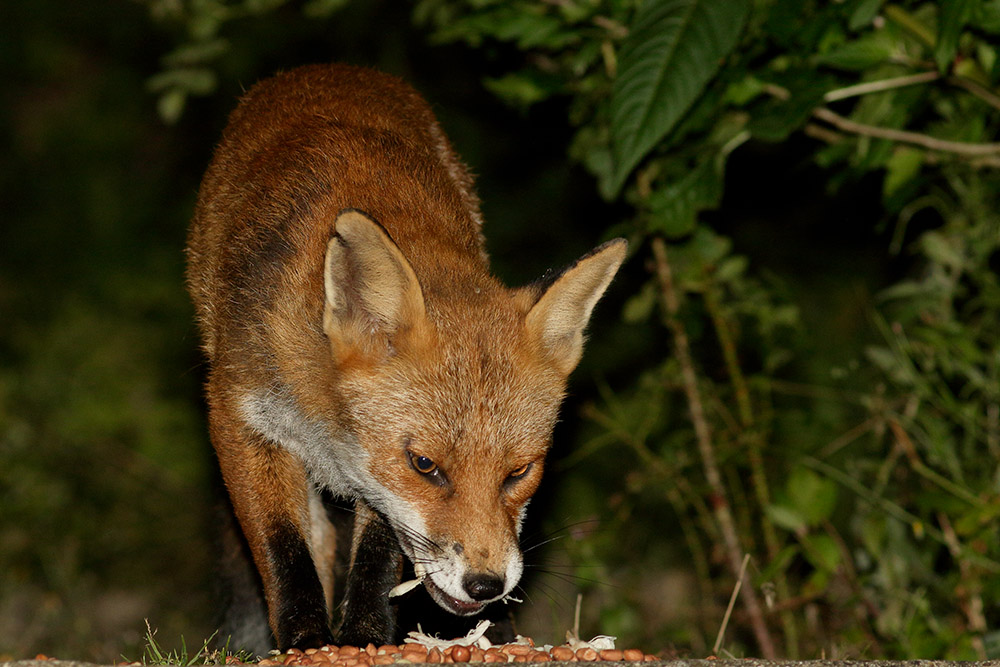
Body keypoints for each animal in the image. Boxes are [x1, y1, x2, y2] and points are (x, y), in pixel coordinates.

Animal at [186, 63, 626, 654]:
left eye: (519, 471)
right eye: (425, 465)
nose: (485, 584)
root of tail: (329, 68)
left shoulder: (377, 488)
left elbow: (377, 555)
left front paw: (365, 636)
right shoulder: (240, 416)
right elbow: (285, 551)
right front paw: (306, 641)